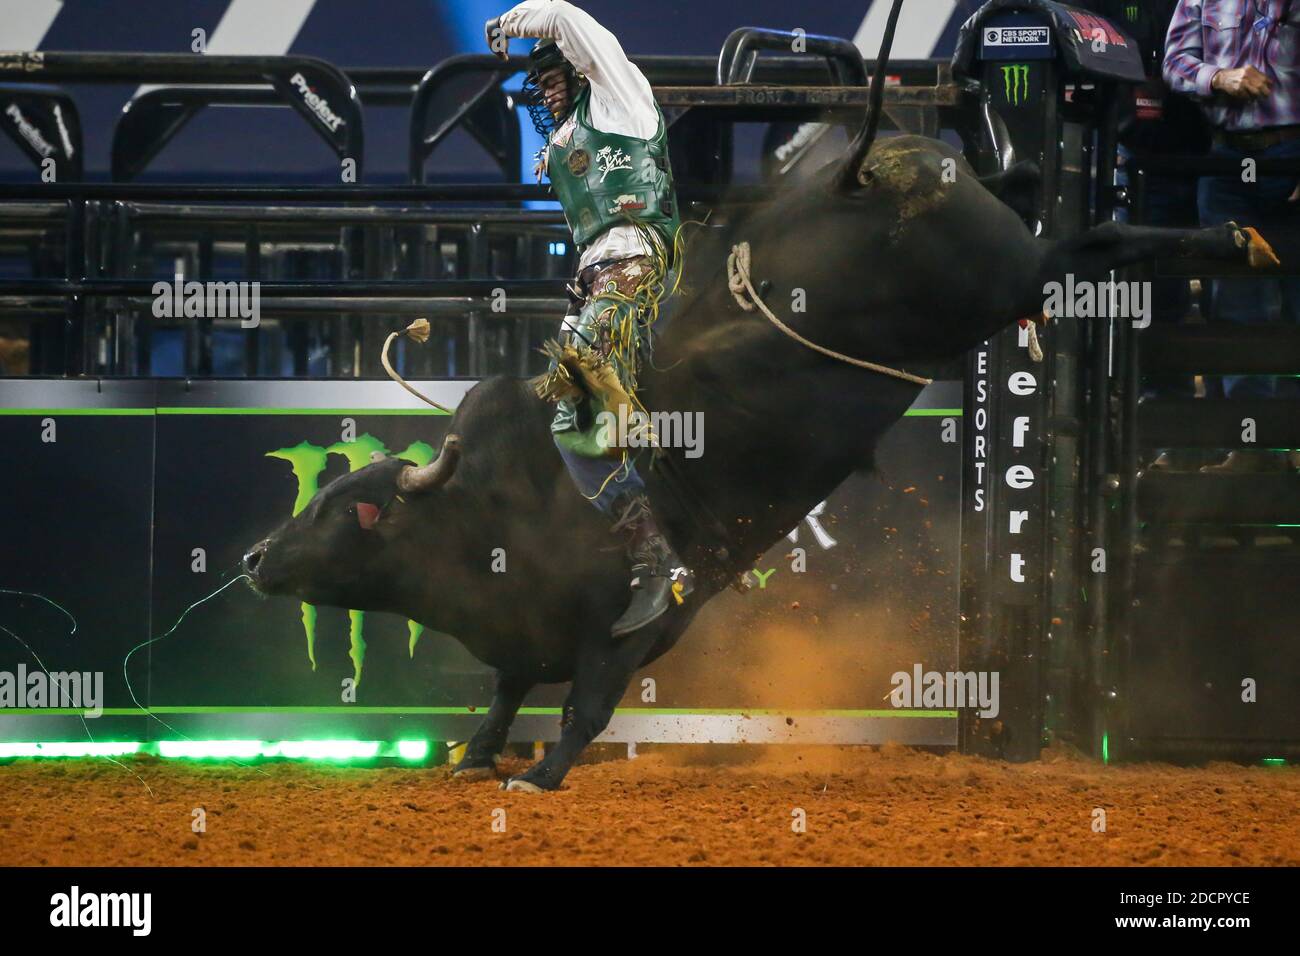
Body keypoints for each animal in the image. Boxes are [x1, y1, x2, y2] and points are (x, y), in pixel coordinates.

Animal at [242, 6, 1277, 792]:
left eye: (351, 511)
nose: (253, 556)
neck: (487, 516)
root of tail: (862, 168)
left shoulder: (624, 636)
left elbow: (583, 704)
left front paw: (540, 777)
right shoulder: (517, 643)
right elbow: (503, 692)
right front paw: (475, 757)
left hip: (1007, 281)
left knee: (1093, 247)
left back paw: (1234, 239)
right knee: (1061, 218)